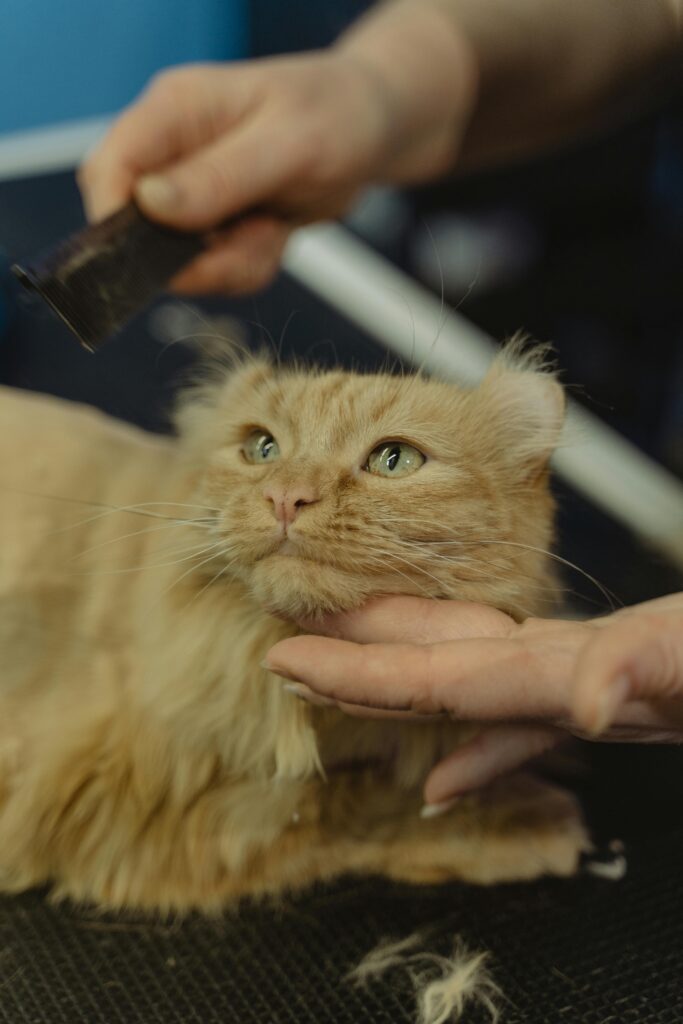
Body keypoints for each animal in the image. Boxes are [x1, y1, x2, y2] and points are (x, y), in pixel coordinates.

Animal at [0, 344, 589, 913]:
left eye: (394, 460)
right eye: (261, 448)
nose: (285, 496)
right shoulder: (149, 810)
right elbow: (361, 805)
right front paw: (529, 818)